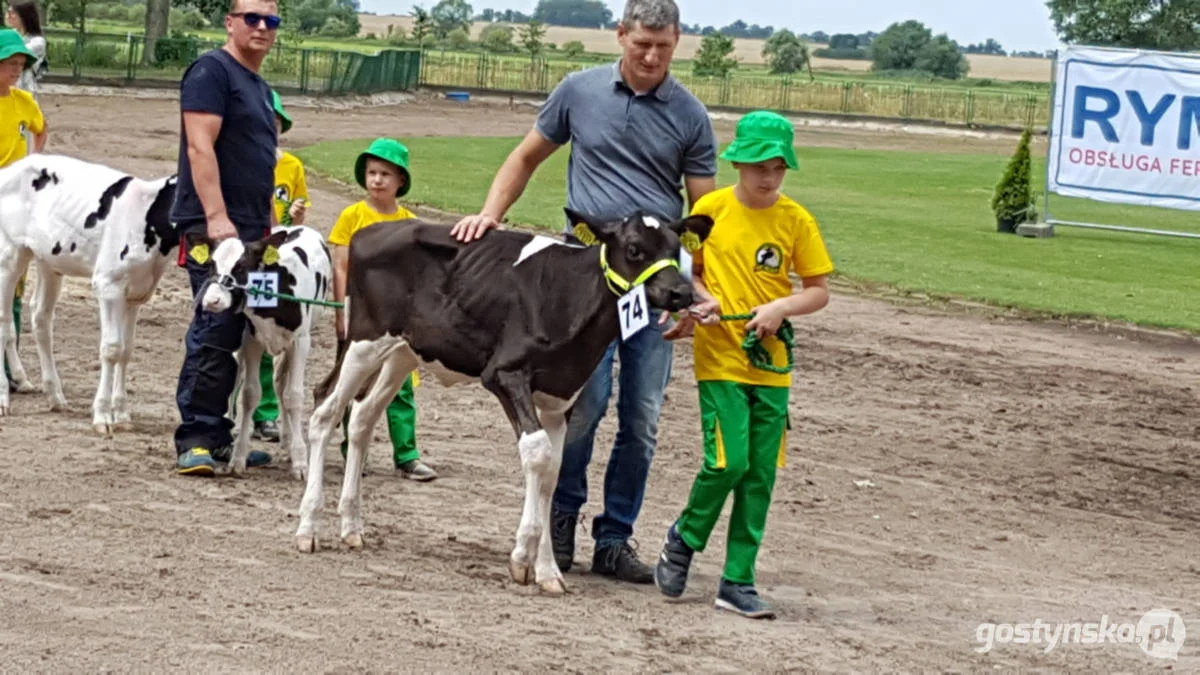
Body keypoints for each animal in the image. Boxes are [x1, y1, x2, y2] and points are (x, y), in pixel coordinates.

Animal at [0, 153, 177, 429]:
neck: (145, 213)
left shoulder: (136, 294)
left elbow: (126, 350)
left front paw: (122, 413)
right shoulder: (107, 285)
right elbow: (112, 348)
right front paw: (102, 414)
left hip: (49, 262)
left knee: (40, 318)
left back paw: (55, 395)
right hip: (10, 255)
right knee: (4, 322)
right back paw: (4, 399)